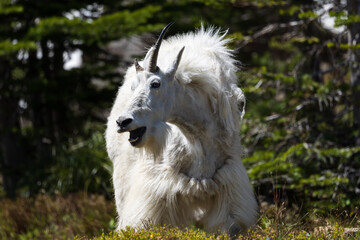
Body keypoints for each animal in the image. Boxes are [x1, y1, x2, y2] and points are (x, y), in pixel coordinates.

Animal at [105, 23, 258, 235]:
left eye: (155, 83)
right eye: (133, 87)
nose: (122, 122)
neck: (196, 139)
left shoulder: (228, 183)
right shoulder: (157, 188)